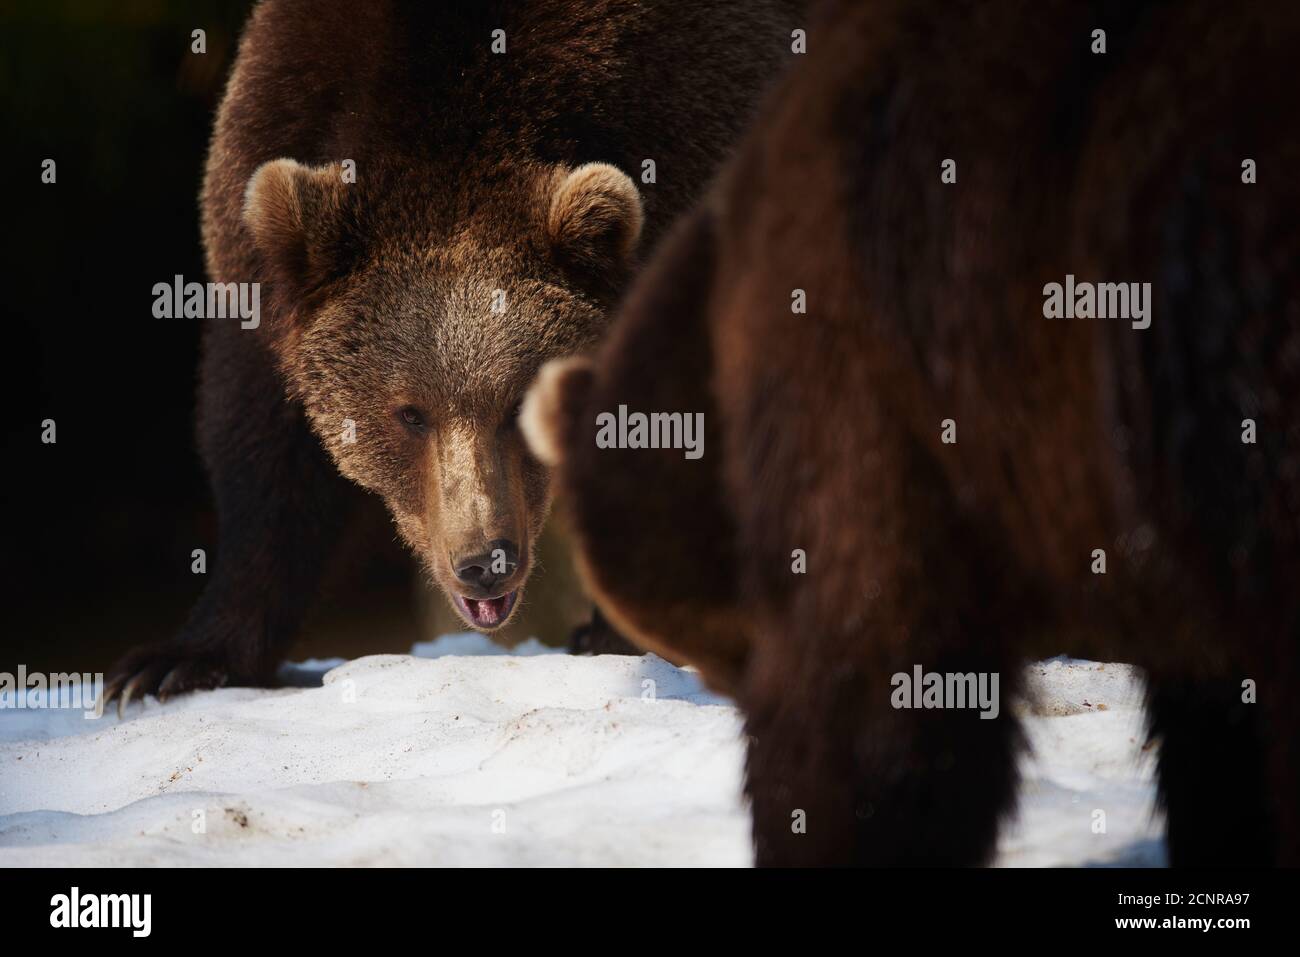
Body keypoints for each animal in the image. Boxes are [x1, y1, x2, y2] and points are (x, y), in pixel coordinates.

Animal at [105, 0, 804, 710]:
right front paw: (172, 663)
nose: (484, 562)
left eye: (519, 403)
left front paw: (620, 634)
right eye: (409, 413)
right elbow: (265, 452)